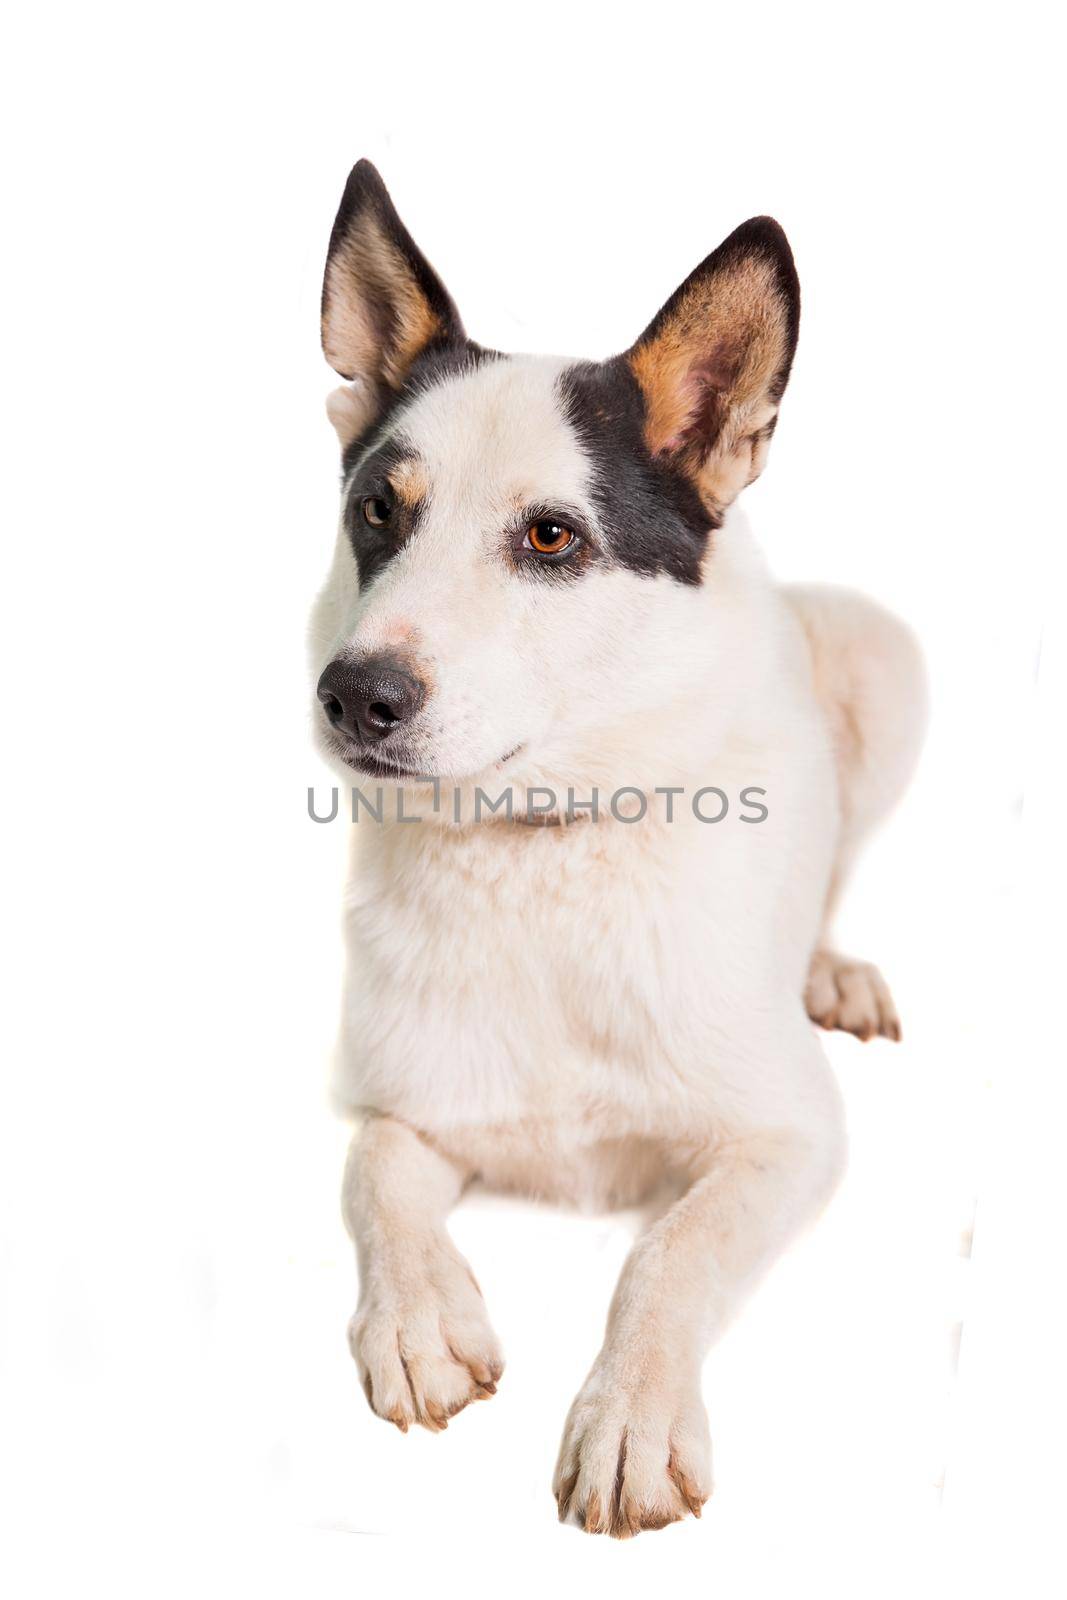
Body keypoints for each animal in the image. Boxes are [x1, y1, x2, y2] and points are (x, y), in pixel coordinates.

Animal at [307, 159, 927, 1536]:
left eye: (550, 538)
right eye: (378, 509)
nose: (352, 694)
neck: (541, 846)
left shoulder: (787, 1134)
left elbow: (663, 1251)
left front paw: (629, 1415)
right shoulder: (398, 1104)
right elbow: (371, 1171)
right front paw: (415, 1321)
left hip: (879, 654)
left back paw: (830, 966)